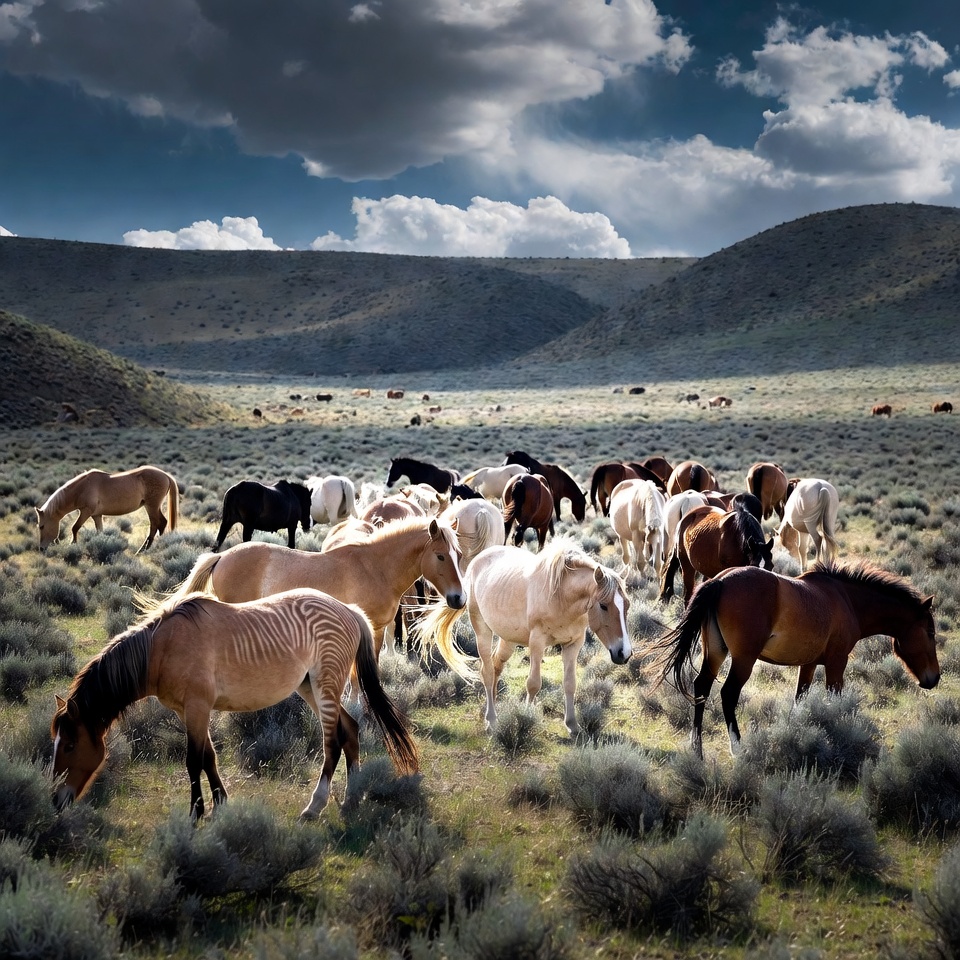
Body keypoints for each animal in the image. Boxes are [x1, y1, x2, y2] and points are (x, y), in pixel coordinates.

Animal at [36, 465, 179, 553]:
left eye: (41, 526)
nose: (41, 548)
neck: (82, 488)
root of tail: (165, 475)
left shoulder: (86, 512)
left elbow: (75, 527)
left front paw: (73, 544)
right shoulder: (96, 515)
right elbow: (100, 531)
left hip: (151, 506)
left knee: (155, 525)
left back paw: (142, 550)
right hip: (153, 507)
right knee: (162, 523)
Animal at [51, 588, 419, 820]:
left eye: (69, 745)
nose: (55, 799)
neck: (161, 649)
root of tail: (350, 611)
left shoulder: (198, 707)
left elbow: (193, 760)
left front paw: (196, 812)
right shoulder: (188, 710)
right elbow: (209, 757)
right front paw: (221, 804)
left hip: (324, 687)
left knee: (332, 743)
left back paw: (315, 806)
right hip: (310, 688)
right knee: (350, 730)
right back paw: (352, 798)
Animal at [166, 516, 465, 661]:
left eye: (459, 554)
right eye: (440, 556)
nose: (459, 598)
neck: (374, 567)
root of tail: (222, 556)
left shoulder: (379, 630)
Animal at [416, 538, 632, 737]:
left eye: (627, 605)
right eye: (603, 605)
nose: (624, 653)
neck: (560, 596)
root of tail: (476, 561)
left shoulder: (573, 644)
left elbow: (570, 683)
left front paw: (572, 724)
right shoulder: (537, 642)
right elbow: (533, 683)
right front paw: (526, 718)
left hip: (508, 640)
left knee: (496, 666)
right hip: (482, 631)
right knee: (487, 672)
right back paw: (491, 720)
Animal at [649, 561, 940, 758]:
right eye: (930, 632)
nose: (934, 678)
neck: (847, 599)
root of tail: (720, 580)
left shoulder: (808, 664)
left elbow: (800, 698)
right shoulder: (836, 664)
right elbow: (836, 699)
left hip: (716, 653)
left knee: (701, 687)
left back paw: (696, 750)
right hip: (743, 660)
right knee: (728, 694)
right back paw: (738, 747)